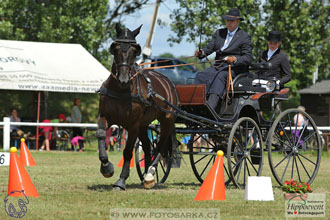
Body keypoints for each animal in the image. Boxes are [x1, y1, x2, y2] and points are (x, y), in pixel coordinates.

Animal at [96, 23, 178, 190]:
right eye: (115, 48)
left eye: (135, 51)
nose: (123, 79)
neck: (121, 90)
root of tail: (168, 83)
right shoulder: (104, 116)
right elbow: (101, 135)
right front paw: (106, 167)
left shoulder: (132, 125)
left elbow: (127, 151)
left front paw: (121, 181)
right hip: (143, 125)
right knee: (147, 147)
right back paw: (146, 174)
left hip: (166, 121)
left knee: (159, 147)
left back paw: (149, 175)